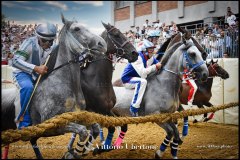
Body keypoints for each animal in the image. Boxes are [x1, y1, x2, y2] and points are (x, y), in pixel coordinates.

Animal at [1, 14, 107, 159]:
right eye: (77, 29)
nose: (102, 44)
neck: (65, 84)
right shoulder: (52, 124)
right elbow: (82, 131)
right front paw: (73, 152)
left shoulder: (79, 117)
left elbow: (94, 128)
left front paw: (79, 151)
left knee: (33, 141)